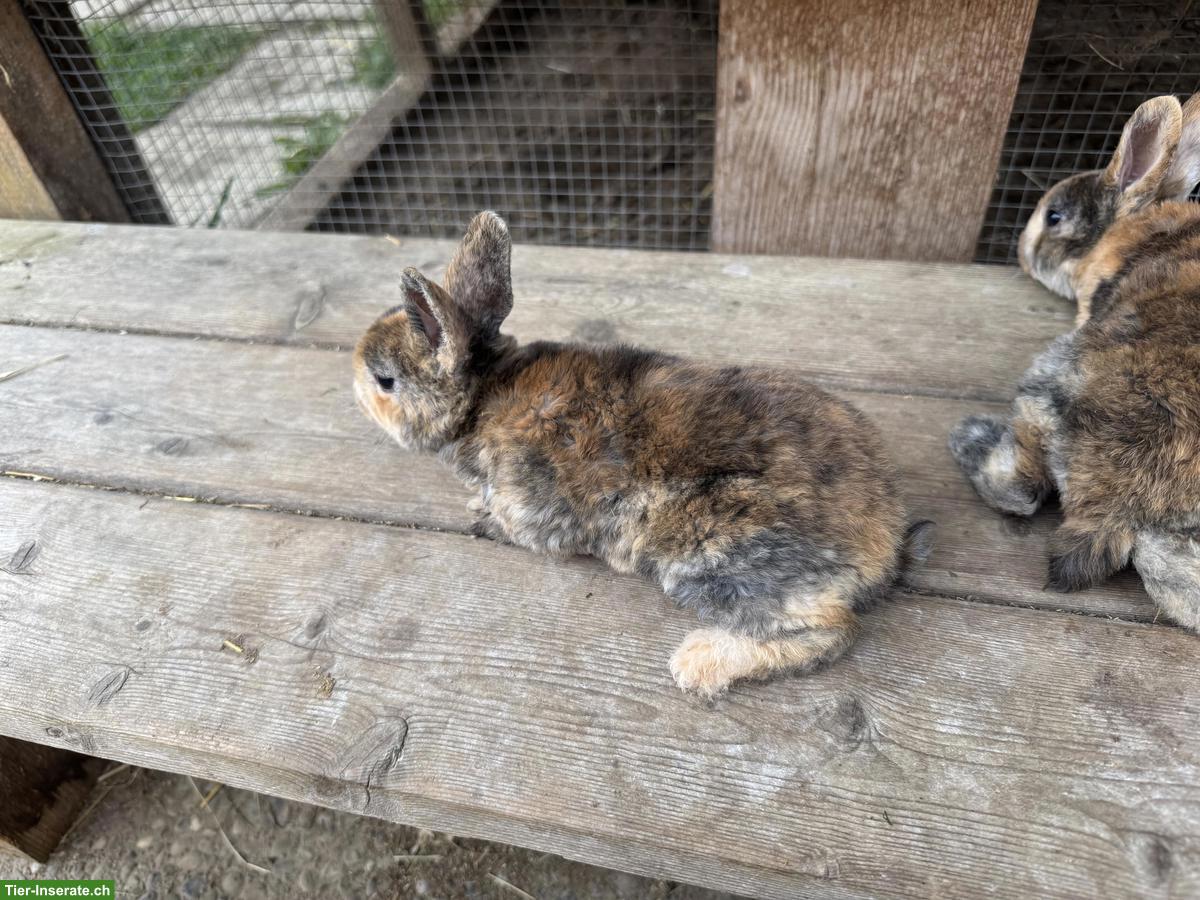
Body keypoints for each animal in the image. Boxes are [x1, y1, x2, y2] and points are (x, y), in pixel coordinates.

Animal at [355, 211, 934, 697]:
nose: (354, 383)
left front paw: (482, 518)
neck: (481, 397)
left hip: (709, 546)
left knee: (832, 630)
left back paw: (700, 662)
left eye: (385, 381)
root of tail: (884, 540)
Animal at [949, 93, 1200, 629]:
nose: (1020, 255)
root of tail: (1118, 508)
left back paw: (970, 435)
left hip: (1048, 378)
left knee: (1019, 487)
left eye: (1055, 217)